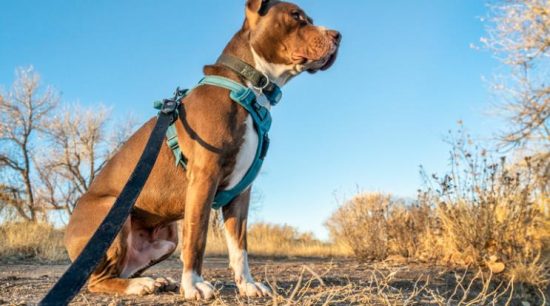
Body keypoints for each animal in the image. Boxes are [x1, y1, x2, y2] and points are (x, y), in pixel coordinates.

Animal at [64, 0, 340, 300]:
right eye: (296, 16)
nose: (338, 36)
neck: (249, 87)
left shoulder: (241, 193)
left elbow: (239, 246)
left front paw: (247, 284)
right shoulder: (204, 178)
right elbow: (197, 237)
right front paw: (194, 285)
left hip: (167, 238)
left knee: (123, 269)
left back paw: (154, 280)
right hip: (112, 217)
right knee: (97, 280)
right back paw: (139, 285)